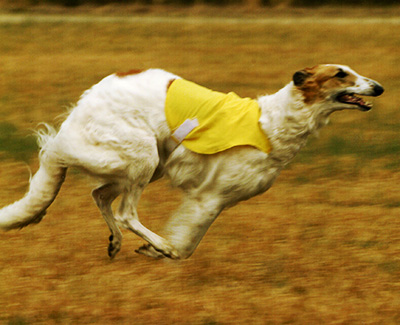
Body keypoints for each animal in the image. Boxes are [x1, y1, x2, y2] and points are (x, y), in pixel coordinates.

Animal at [0, 65, 382, 258]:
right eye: (341, 74)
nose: (378, 87)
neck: (272, 123)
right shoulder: (210, 197)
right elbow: (185, 246)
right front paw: (162, 249)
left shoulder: (212, 200)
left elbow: (189, 239)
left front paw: (153, 249)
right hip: (142, 154)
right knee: (124, 212)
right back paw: (153, 242)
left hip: (149, 164)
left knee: (100, 196)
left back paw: (116, 242)